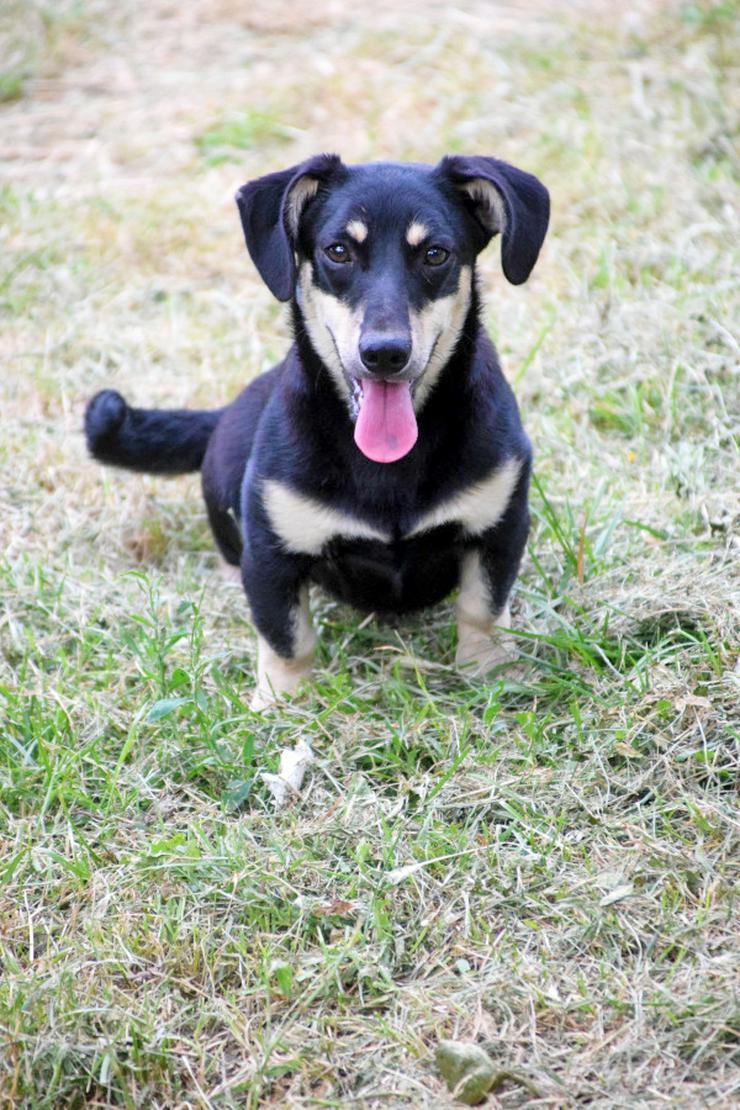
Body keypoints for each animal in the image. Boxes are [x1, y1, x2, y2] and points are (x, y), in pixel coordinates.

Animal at [85, 154, 550, 710]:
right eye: (338, 251)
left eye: (435, 254)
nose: (385, 353)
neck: (387, 465)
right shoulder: (271, 554)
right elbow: (288, 637)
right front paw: (280, 705)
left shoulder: (500, 526)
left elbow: (482, 607)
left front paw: (490, 674)